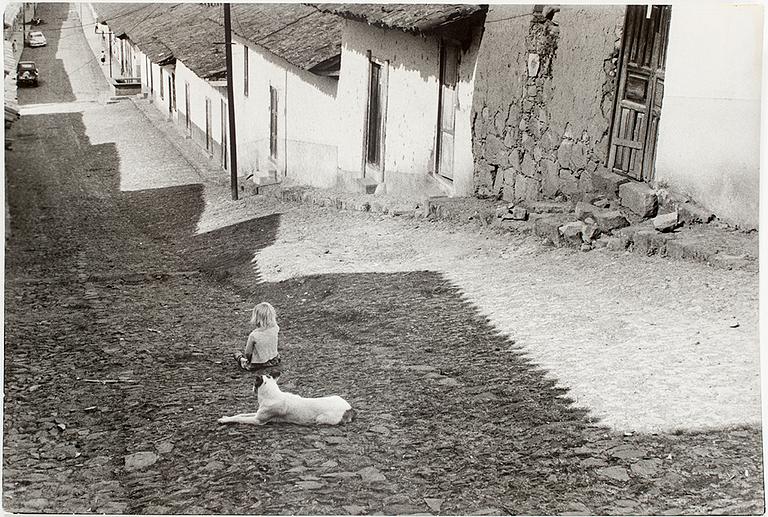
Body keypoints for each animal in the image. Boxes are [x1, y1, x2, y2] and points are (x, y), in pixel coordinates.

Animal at [216, 372, 354, 426]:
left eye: (254, 383)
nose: (252, 388)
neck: (272, 395)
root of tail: (349, 408)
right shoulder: (256, 414)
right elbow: (240, 414)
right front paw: (226, 417)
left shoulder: (258, 420)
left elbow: (239, 419)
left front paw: (224, 420)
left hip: (321, 419)